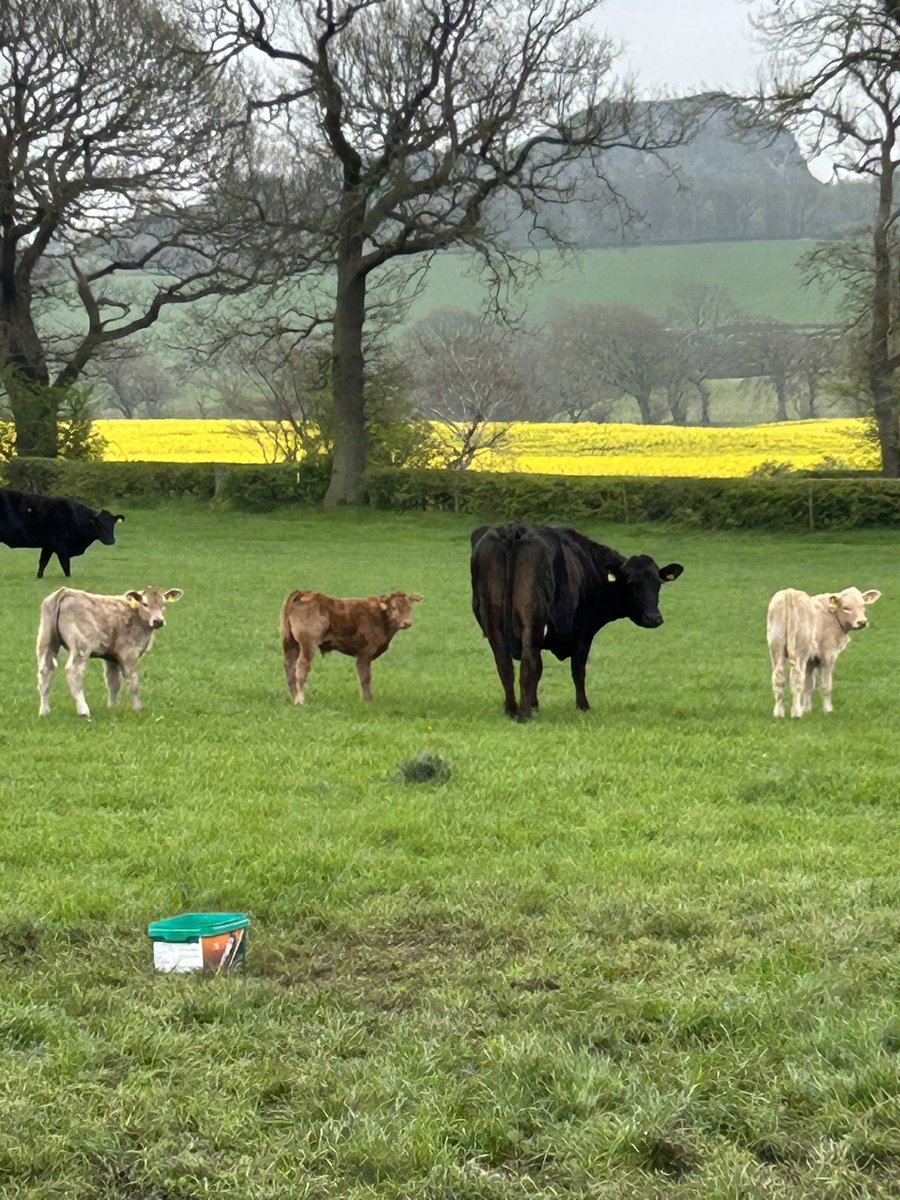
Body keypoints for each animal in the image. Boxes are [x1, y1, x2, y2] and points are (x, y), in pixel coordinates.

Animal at [36, 585, 183, 717]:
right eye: (145, 604)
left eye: (164, 604)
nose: (158, 621)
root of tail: (65, 591)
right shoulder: (129, 653)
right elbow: (133, 680)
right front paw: (137, 707)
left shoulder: (110, 656)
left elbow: (113, 682)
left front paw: (112, 707)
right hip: (80, 647)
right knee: (73, 671)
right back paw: (83, 710)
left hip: (46, 641)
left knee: (45, 671)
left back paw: (44, 711)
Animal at [280, 589, 423, 705]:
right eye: (394, 607)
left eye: (410, 607)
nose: (407, 623)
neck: (380, 616)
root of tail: (303, 593)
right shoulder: (365, 652)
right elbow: (365, 677)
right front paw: (367, 700)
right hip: (308, 644)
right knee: (302, 667)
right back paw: (300, 699)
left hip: (289, 642)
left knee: (289, 667)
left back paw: (294, 697)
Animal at [471, 523, 684, 720]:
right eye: (631, 584)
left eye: (658, 584)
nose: (653, 618)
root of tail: (514, 528)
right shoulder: (584, 632)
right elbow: (577, 670)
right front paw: (583, 706)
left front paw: (535, 704)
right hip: (532, 619)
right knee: (528, 663)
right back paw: (524, 714)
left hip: (492, 622)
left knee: (505, 665)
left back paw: (512, 710)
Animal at [767, 586, 881, 719]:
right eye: (846, 607)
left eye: (863, 605)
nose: (862, 622)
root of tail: (789, 593)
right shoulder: (828, 655)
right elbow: (826, 685)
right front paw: (828, 710)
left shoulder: (810, 660)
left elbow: (809, 685)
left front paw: (807, 709)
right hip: (799, 650)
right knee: (796, 677)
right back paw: (796, 713)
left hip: (776, 647)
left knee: (778, 678)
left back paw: (779, 712)